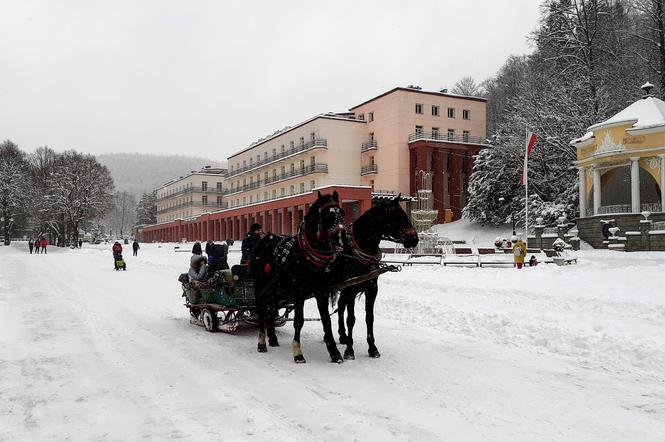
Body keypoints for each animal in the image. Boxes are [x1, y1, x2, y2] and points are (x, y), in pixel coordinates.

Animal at [246, 190, 344, 362]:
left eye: (341, 213)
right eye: (328, 215)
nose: (339, 240)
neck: (308, 255)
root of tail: (263, 240)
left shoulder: (321, 291)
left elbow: (326, 320)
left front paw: (334, 352)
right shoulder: (299, 292)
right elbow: (298, 321)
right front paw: (298, 352)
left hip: (276, 287)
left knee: (271, 309)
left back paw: (272, 338)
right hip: (260, 285)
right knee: (262, 309)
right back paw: (262, 342)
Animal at [334, 196, 418, 360]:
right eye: (397, 217)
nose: (415, 238)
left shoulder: (371, 290)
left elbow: (369, 318)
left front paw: (372, 348)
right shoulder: (350, 290)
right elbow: (351, 319)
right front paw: (349, 350)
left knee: (340, 306)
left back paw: (342, 335)